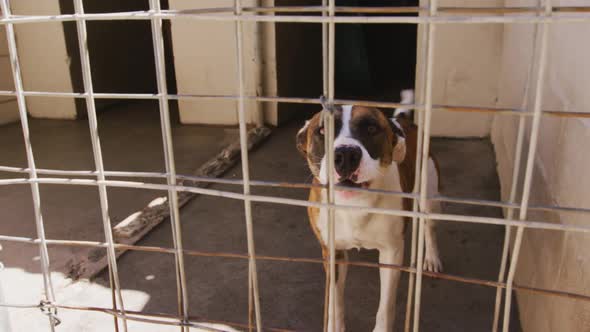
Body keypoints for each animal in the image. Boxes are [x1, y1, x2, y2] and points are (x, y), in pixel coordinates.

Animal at [296, 90, 444, 332]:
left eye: (372, 129)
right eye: (322, 130)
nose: (346, 155)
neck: (355, 207)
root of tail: (402, 121)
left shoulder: (391, 253)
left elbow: (385, 306)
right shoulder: (332, 252)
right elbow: (334, 300)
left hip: (430, 196)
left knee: (429, 227)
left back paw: (431, 258)